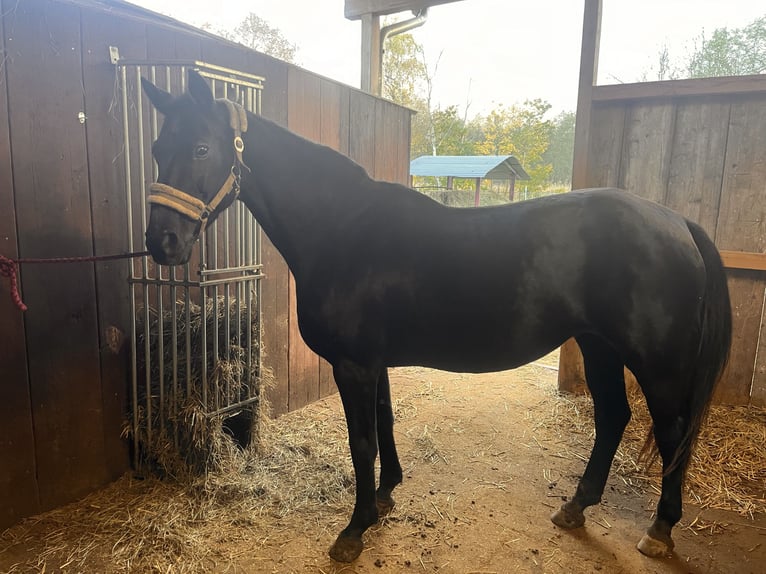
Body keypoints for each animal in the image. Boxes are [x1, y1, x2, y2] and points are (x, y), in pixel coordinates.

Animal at [141, 71, 736, 564]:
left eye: (201, 148)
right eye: (156, 148)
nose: (161, 242)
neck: (341, 227)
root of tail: (676, 222)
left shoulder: (353, 364)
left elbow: (362, 442)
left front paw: (353, 531)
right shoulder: (372, 363)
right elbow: (384, 424)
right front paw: (385, 497)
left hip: (657, 365)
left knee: (673, 434)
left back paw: (659, 530)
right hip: (599, 346)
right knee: (613, 417)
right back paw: (576, 507)